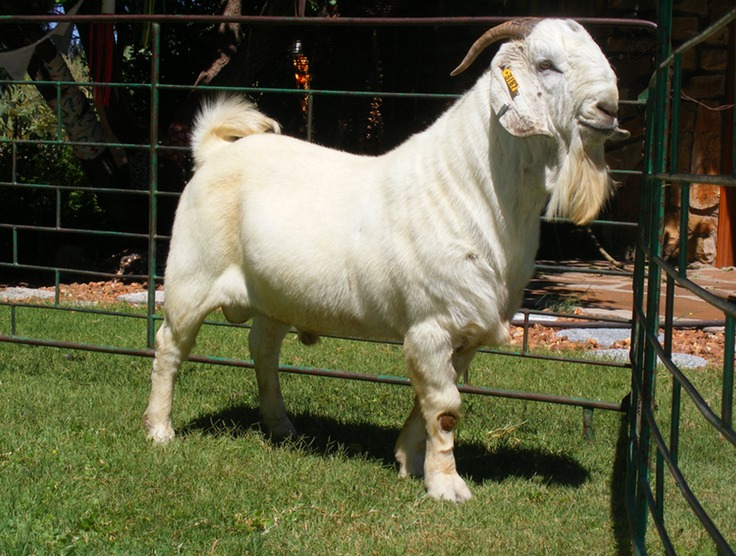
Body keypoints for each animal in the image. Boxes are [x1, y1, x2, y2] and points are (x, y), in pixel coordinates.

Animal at [143, 18, 628, 502]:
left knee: (262, 350)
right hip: (191, 276)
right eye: (547, 64)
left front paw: (409, 461)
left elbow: (428, 402)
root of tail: (215, 152)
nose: (608, 108)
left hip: (274, 296)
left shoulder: (464, 334)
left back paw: (281, 427)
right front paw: (447, 486)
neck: (470, 190)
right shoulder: (431, 324)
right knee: (170, 345)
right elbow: (446, 409)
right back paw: (159, 430)